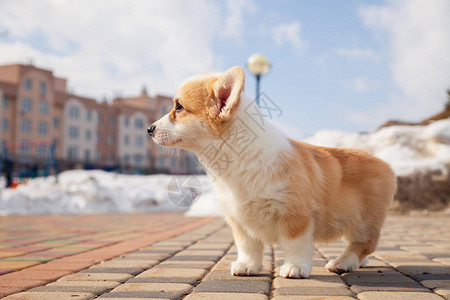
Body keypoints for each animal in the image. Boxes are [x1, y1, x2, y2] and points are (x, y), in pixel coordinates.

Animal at [149, 67, 396, 278]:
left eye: (179, 107)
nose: (149, 129)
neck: (237, 157)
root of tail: (385, 163)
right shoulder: (238, 220)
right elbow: (247, 245)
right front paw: (247, 266)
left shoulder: (295, 214)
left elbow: (295, 244)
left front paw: (295, 268)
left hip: (365, 220)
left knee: (364, 243)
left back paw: (342, 262)